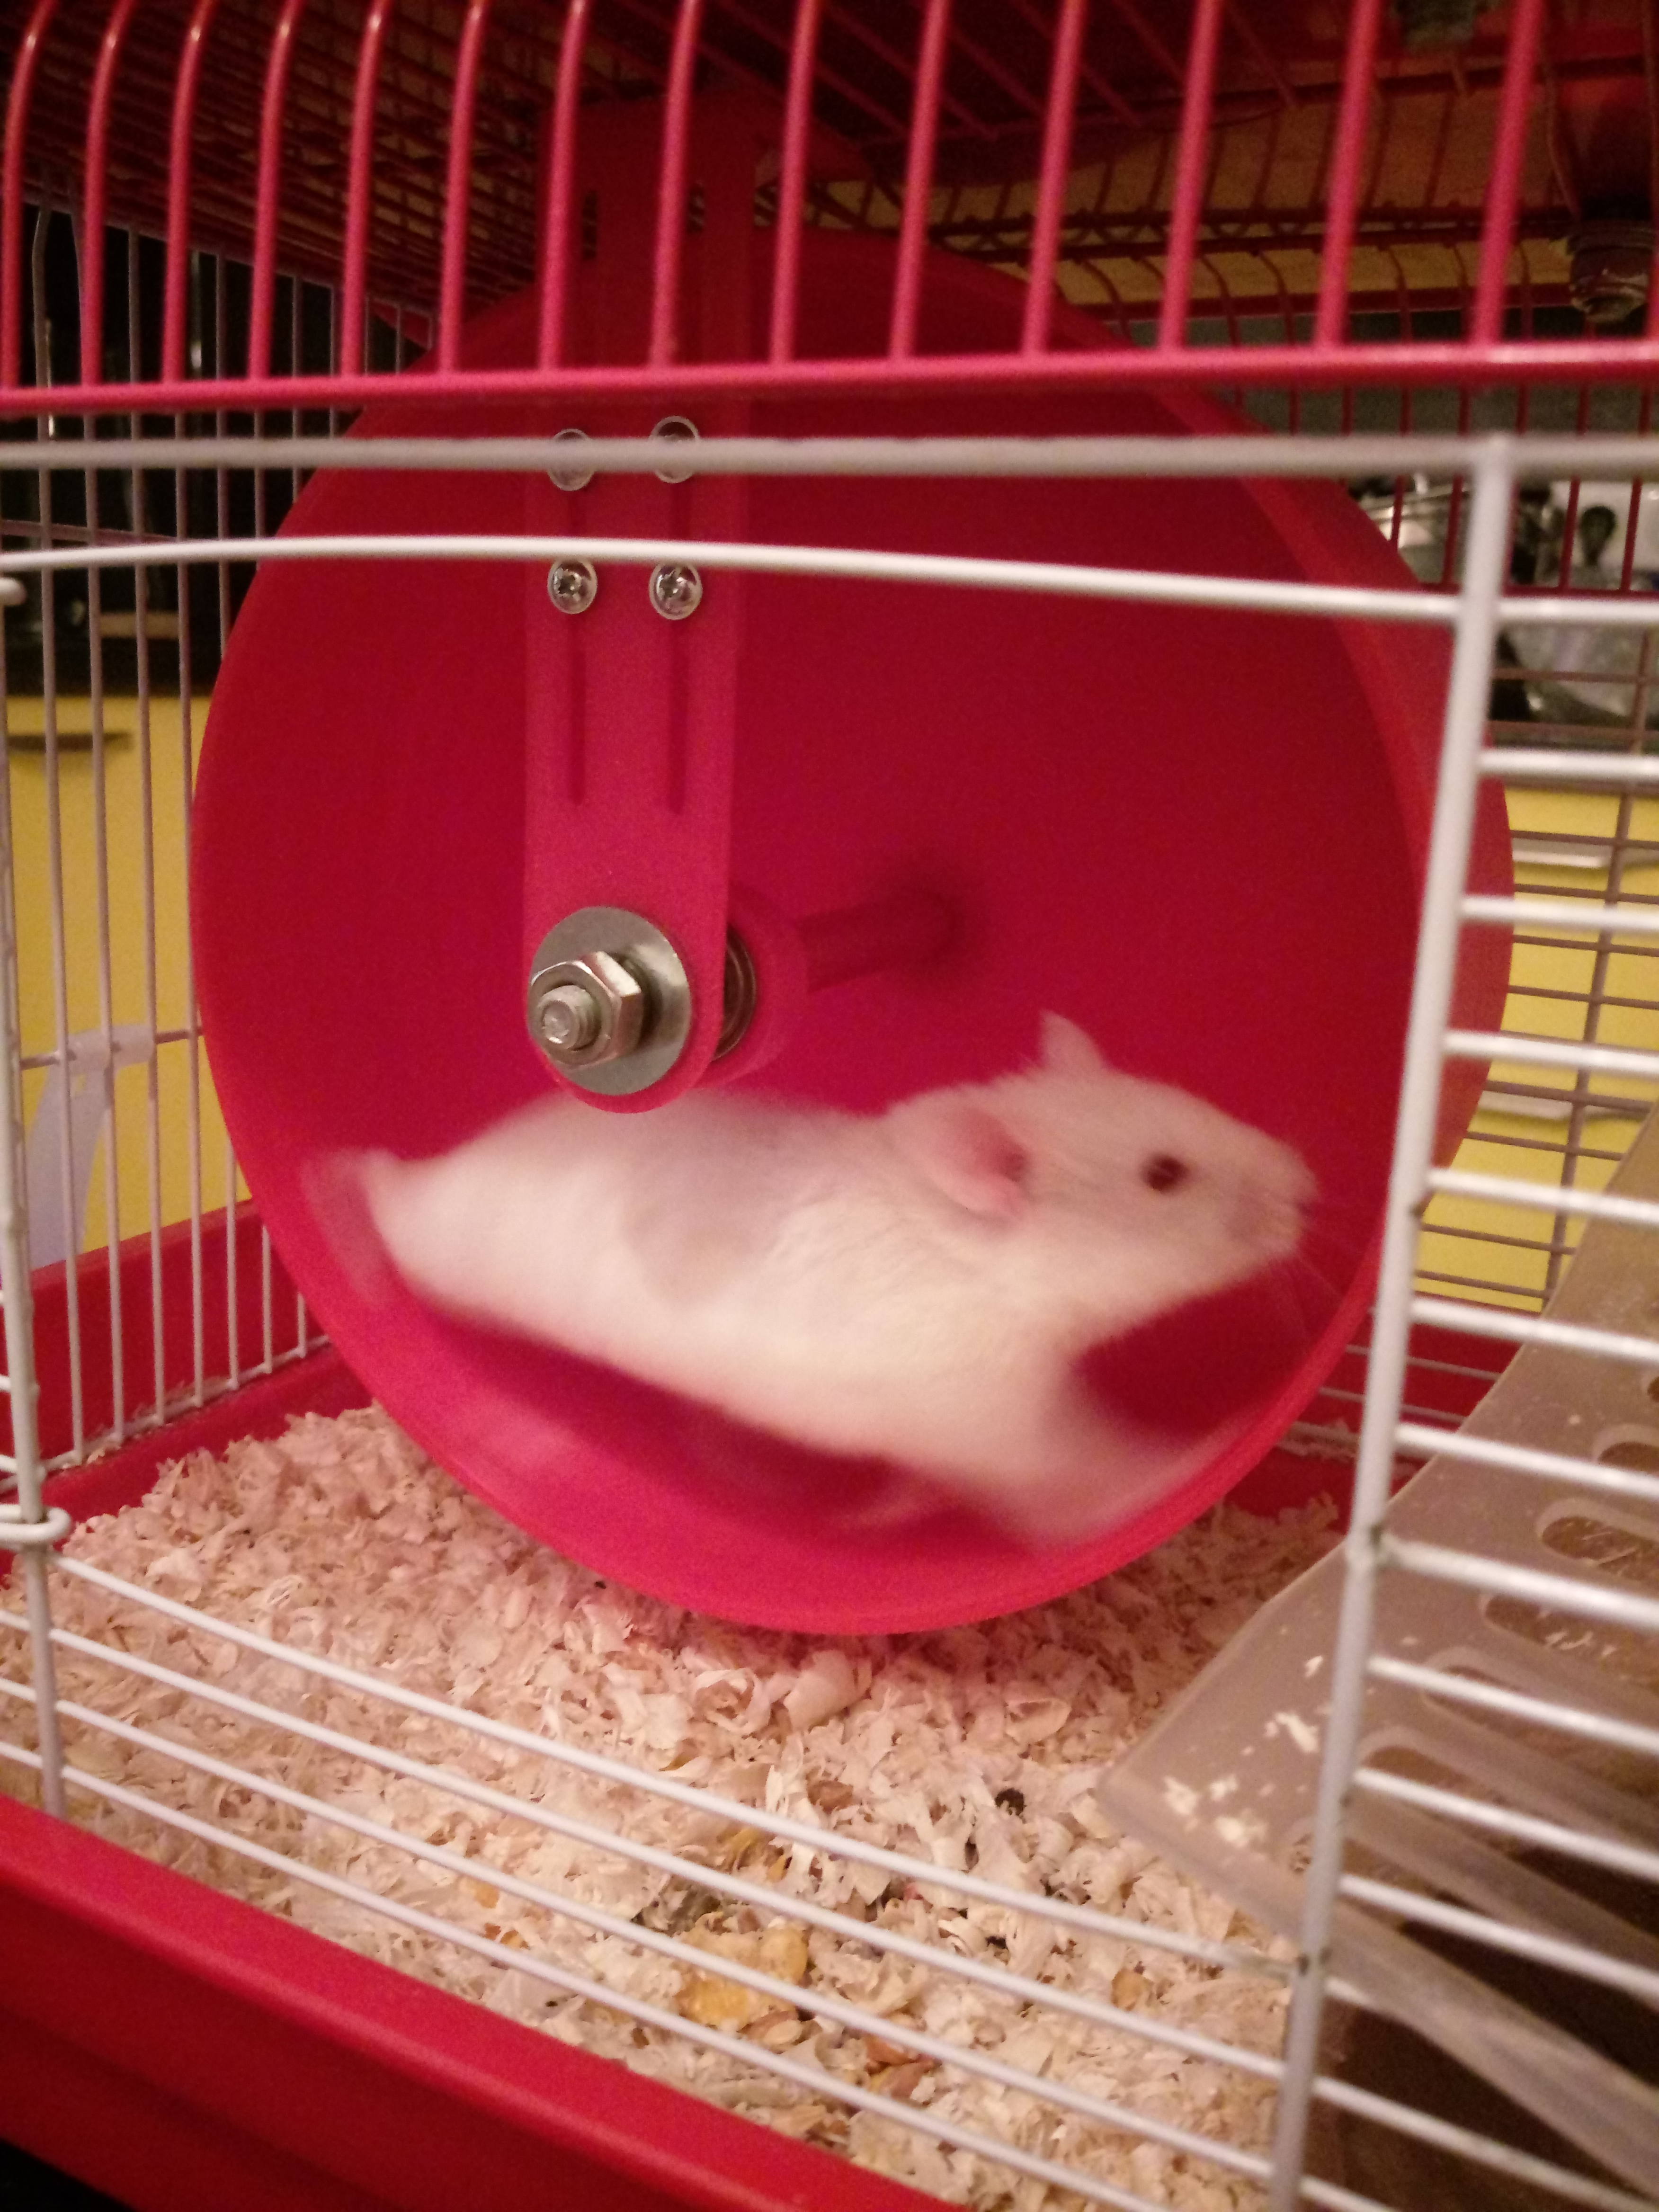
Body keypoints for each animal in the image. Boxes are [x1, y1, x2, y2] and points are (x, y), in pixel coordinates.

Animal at [353, 1014, 1314, 1544]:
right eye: (1164, 1175)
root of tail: (427, 1173)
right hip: (446, 1251)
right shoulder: (1005, 1421)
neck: (991, 1272)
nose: (1310, 1188)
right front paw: (1209, 1447)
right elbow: (1094, 1476)